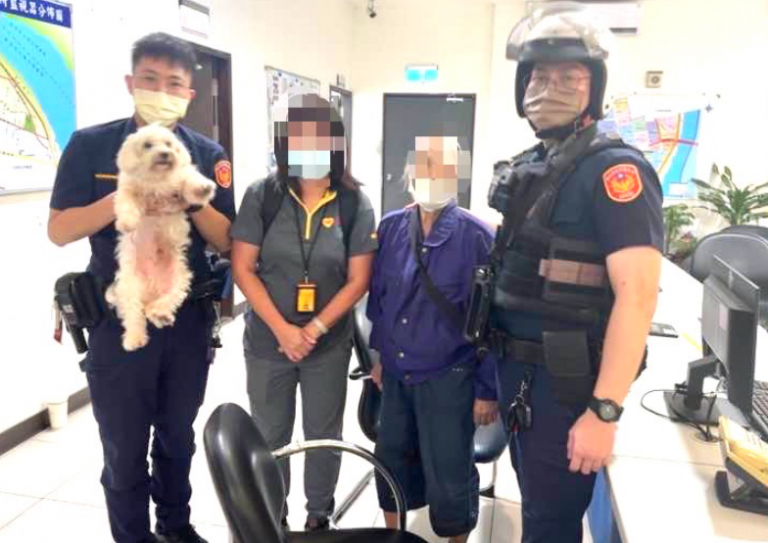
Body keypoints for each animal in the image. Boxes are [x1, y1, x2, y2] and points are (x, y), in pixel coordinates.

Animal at [107, 124, 216, 351]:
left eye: (169, 144)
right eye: (148, 145)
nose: (166, 154)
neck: (157, 178)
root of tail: (152, 290)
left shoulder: (182, 179)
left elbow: (190, 181)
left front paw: (203, 189)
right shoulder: (128, 190)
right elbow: (126, 203)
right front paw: (127, 222)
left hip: (179, 279)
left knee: (163, 303)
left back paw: (161, 314)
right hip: (129, 287)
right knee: (135, 315)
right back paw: (134, 338)